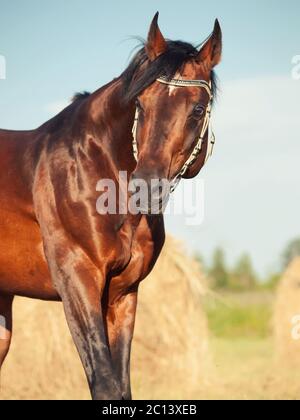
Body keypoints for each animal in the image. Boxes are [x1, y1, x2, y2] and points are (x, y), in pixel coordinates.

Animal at [0, 13, 220, 400]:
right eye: (141, 103)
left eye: (197, 109)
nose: (146, 187)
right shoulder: (78, 280)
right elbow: (103, 383)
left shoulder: (122, 293)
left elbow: (122, 385)